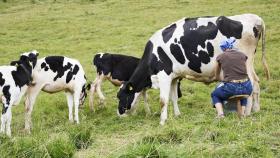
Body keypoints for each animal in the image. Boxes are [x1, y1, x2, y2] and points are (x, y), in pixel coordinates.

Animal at [116, 13, 270, 124]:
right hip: (250, 63)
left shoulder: (164, 75)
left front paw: (162, 121)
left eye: (121, 96)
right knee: (256, 83)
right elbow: (173, 98)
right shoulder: (174, 77)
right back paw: (256, 110)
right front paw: (177, 115)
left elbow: (163, 100)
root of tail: (254, 18)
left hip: (245, 63)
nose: (119, 113)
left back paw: (247, 112)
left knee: (252, 85)